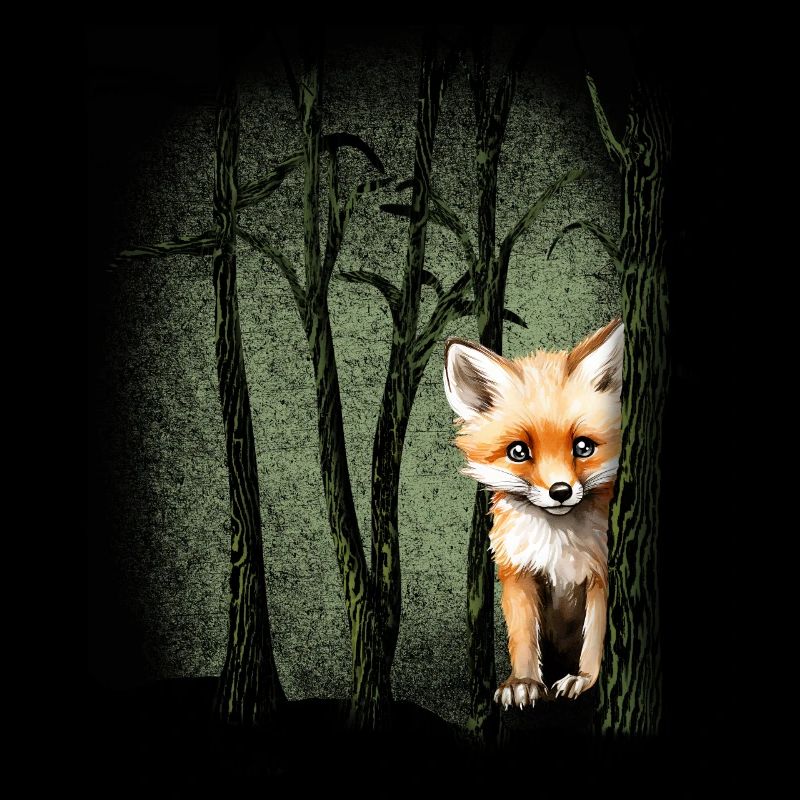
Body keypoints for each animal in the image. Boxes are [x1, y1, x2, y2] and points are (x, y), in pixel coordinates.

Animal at [443, 319, 623, 709]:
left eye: (583, 447)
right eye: (518, 452)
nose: (561, 492)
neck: (558, 544)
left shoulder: (601, 576)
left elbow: (596, 638)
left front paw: (586, 680)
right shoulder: (518, 574)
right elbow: (522, 639)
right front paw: (522, 682)